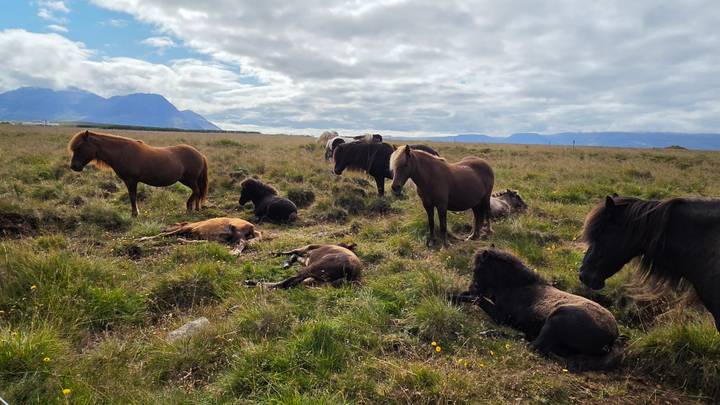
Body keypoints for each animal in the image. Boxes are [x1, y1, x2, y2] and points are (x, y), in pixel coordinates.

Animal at [67, 130, 208, 217]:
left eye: (79, 147)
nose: (74, 167)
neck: (122, 152)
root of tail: (200, 155)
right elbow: (133, 196)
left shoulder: (131, 180)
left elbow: (132, 196)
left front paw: (135, 214)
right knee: (197, 192)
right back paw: (195, 208)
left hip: (189, 179)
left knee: (196, 191)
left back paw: (191, 207)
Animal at [451, 248, 621, 371]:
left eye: (478, 269)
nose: (472, 287)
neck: (518, 286)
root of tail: (612, 336)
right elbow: (469, 296)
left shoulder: (500, 316)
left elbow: (478, 299)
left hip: (556, 320)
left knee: (532, 345)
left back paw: (489, 333)